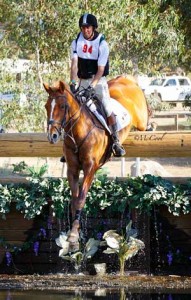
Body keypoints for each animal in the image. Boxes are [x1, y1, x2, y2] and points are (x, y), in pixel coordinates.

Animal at [44, 76, 149, 250]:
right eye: (47, 106)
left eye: (63, 106)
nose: (52, 136)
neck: (79, 132)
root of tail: (125, 78)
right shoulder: (72, 170)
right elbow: (74, 200)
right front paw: (74, 235)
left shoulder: (90, 168)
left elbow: (81, 199)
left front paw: (73, 236)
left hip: (141, 119)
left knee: (147, 120)